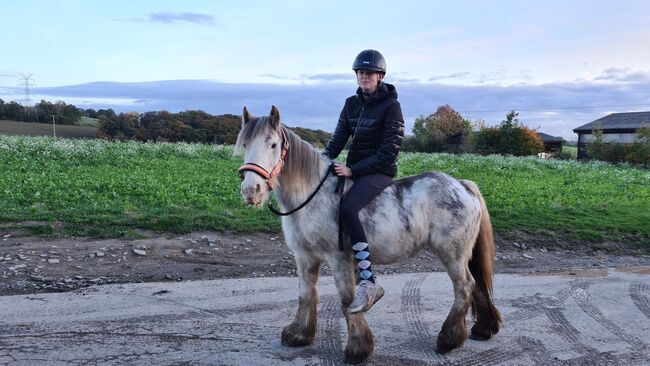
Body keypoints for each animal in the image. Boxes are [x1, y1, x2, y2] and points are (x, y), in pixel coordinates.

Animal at [237, 106, 502, 364]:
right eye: (245, 144)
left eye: (273, 144)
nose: (251, 191)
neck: (312, 195)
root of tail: (463, 185)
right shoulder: (304, 258)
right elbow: (305, 294)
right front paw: (299, 335)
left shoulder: (339, 259)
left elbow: (347, 301)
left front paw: (357, 349)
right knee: (477, 284)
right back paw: (483, 329)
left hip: (452, 254)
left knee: (464, 287)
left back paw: (449, 339)